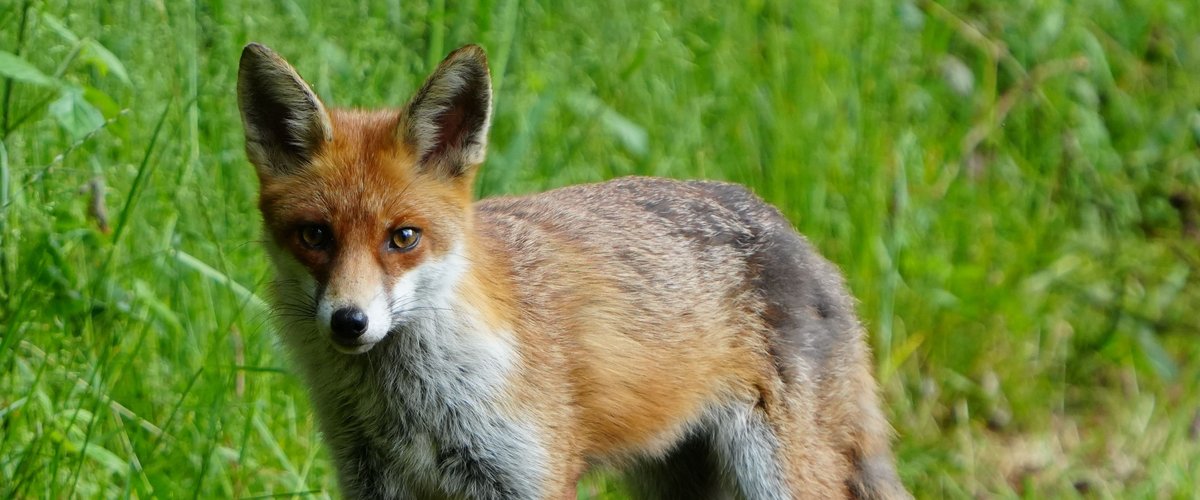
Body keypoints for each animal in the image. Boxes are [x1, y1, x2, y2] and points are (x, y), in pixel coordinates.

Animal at [237, 42, 910, 500]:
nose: (349, 322)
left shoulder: (528, 475)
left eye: (403, 237)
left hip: (778, 477)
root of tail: (801, 239)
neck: (413, 409)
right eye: (315, 236)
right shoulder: (372, 479)